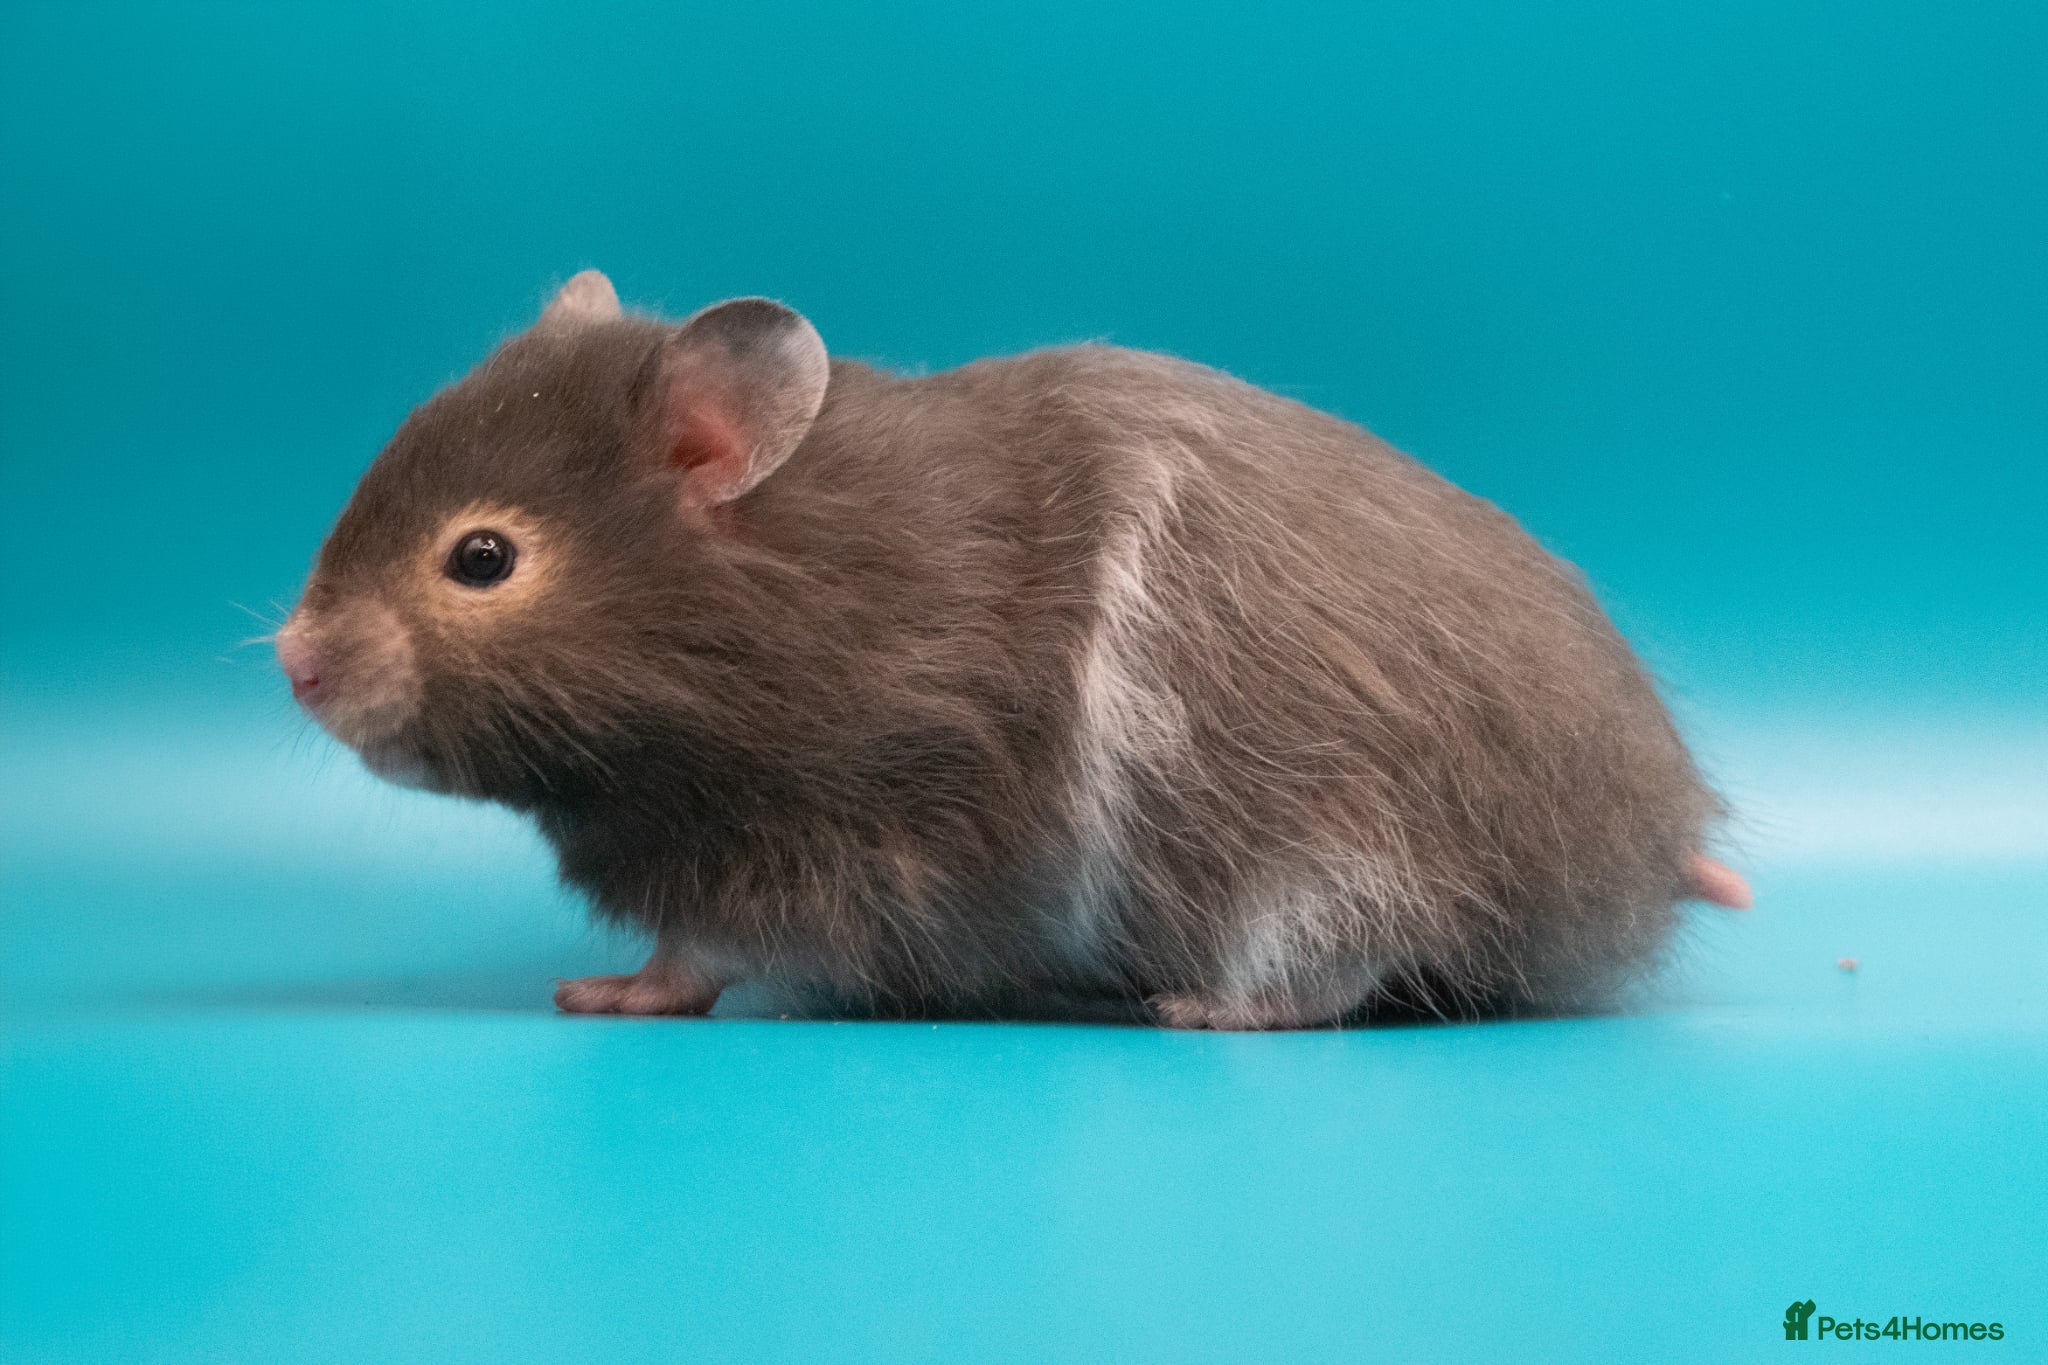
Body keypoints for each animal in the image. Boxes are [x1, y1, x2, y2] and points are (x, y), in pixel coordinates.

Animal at [277, 269, 1748, 1029]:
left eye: (482, 559)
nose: (292, 662)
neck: (787, 612)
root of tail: (1649, 832)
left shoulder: (801, 853)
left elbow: (689, 958)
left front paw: (598, 993)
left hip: (1319, 849)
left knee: (1330, 967)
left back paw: (1190, 1013)